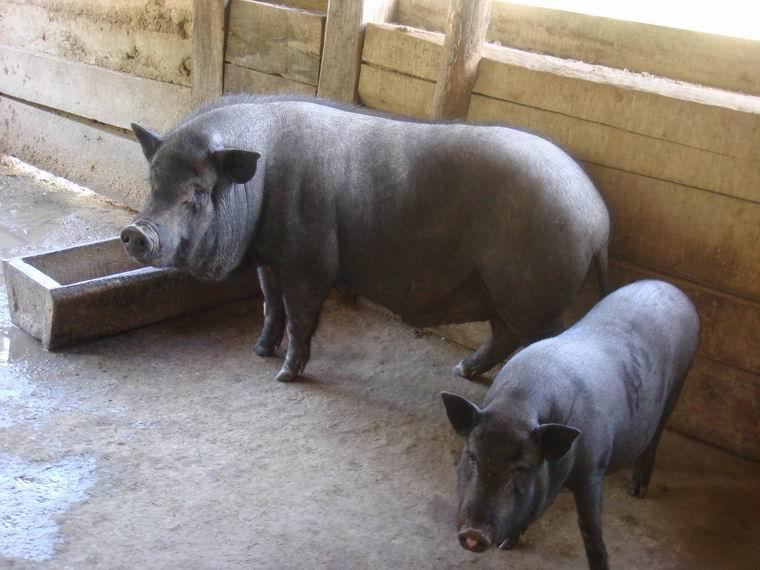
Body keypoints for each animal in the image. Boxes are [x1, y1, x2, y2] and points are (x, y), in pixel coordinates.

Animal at [121, 95, 608, 380]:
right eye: (152, 182)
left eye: (198, 192)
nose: (134, 232)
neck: (262, 186)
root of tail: (598, 217)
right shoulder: (270, 260)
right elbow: (269, 305)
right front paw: (259, 352)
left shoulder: (309, 262)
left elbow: (300, 317)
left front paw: (284, 376)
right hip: (505, 295)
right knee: (503, 336)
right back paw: (461, 371)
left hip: (532, 294)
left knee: (544, 340)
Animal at [442, 280, 696, 568]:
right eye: (472, 458)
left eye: (522, 469)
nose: (473, 534)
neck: (516, 407)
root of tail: (672, 288)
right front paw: (507, 545)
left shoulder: (593, 468)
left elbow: (589, 527)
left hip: (678, 385)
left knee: (656, 435)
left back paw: (637, 491)